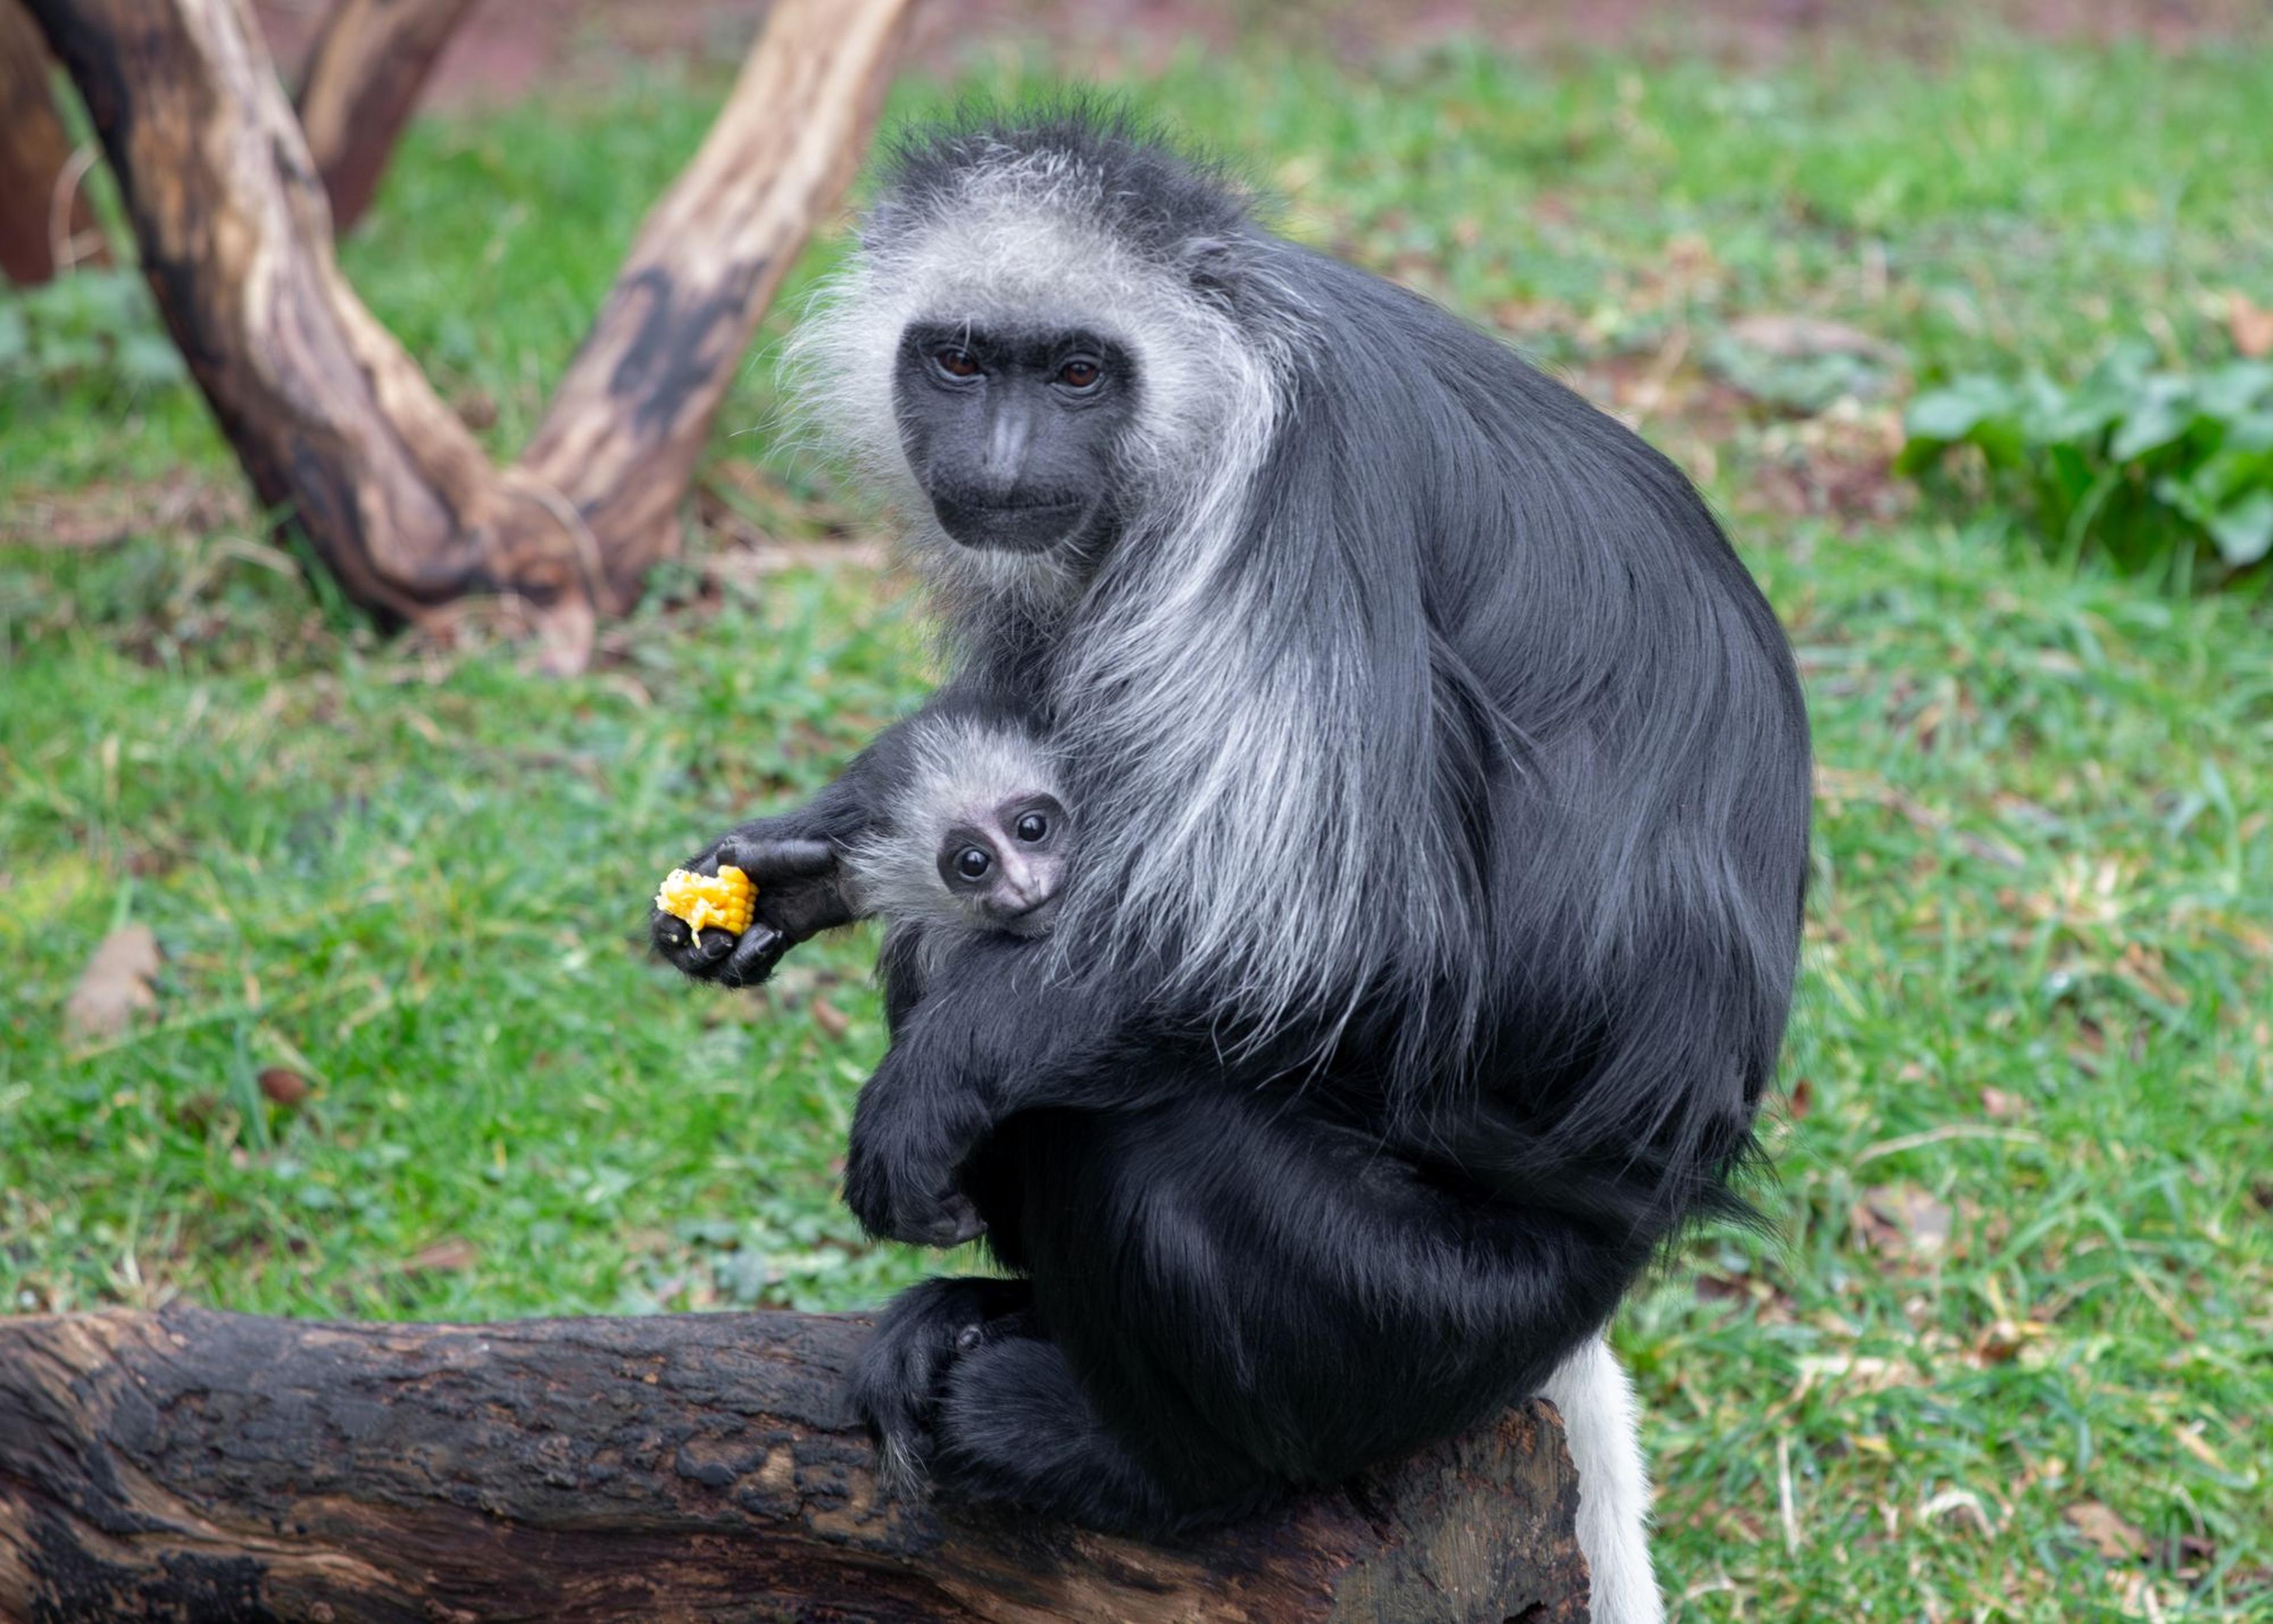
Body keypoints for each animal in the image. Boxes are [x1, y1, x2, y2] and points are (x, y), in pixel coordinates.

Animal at [653, 107, 1806, 1617]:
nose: (1005, 461)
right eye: (960, 361)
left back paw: (1141, 1463)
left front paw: (923, 1092)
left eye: (1078, 372)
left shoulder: (1288, 494)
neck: (1216, 367)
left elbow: (1339, 943)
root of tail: (1634, 1214)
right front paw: (796, 866)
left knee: (1144, 1129)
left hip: (1430, 1299)